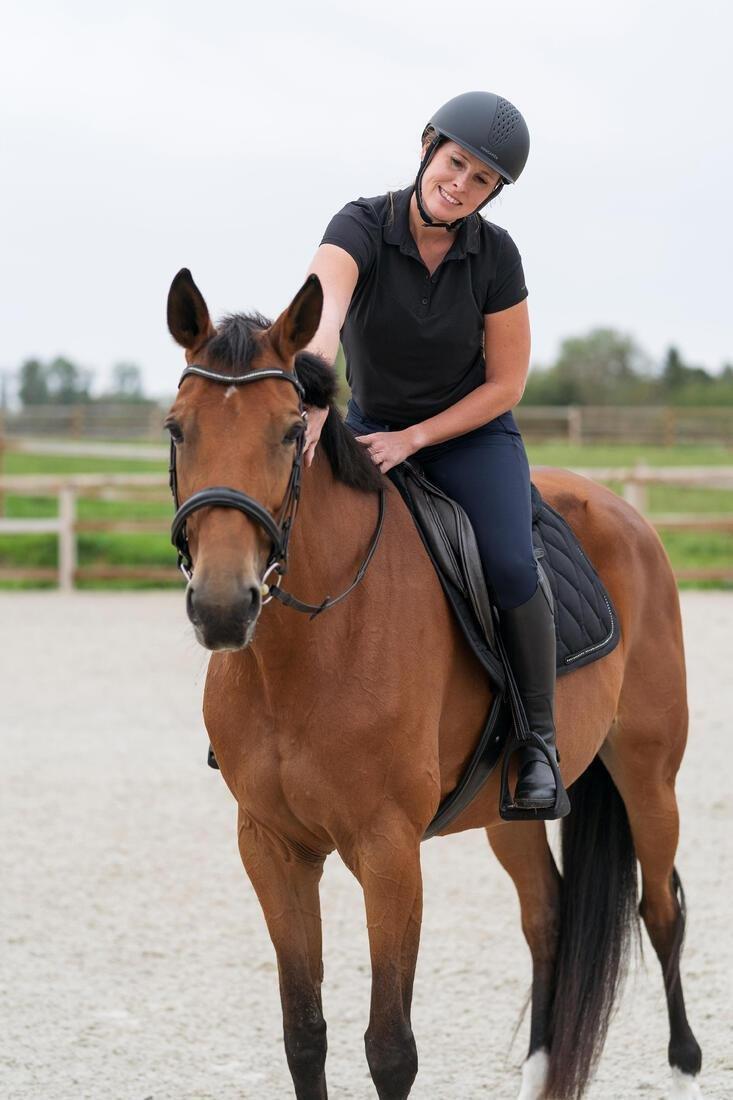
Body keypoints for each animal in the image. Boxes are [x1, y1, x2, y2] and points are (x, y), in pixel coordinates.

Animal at [164, 267, 702, 1100]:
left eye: (289, 431)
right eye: (176, 429)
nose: (223, 604)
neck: (310, 650)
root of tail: (621, 512)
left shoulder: (387, 851)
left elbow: (390, 1047)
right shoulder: (272, 847)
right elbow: (304, 1035)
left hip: (648, 775)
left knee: (660, 912)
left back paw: (683, 1068)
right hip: (509, 809)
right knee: (547, 916)